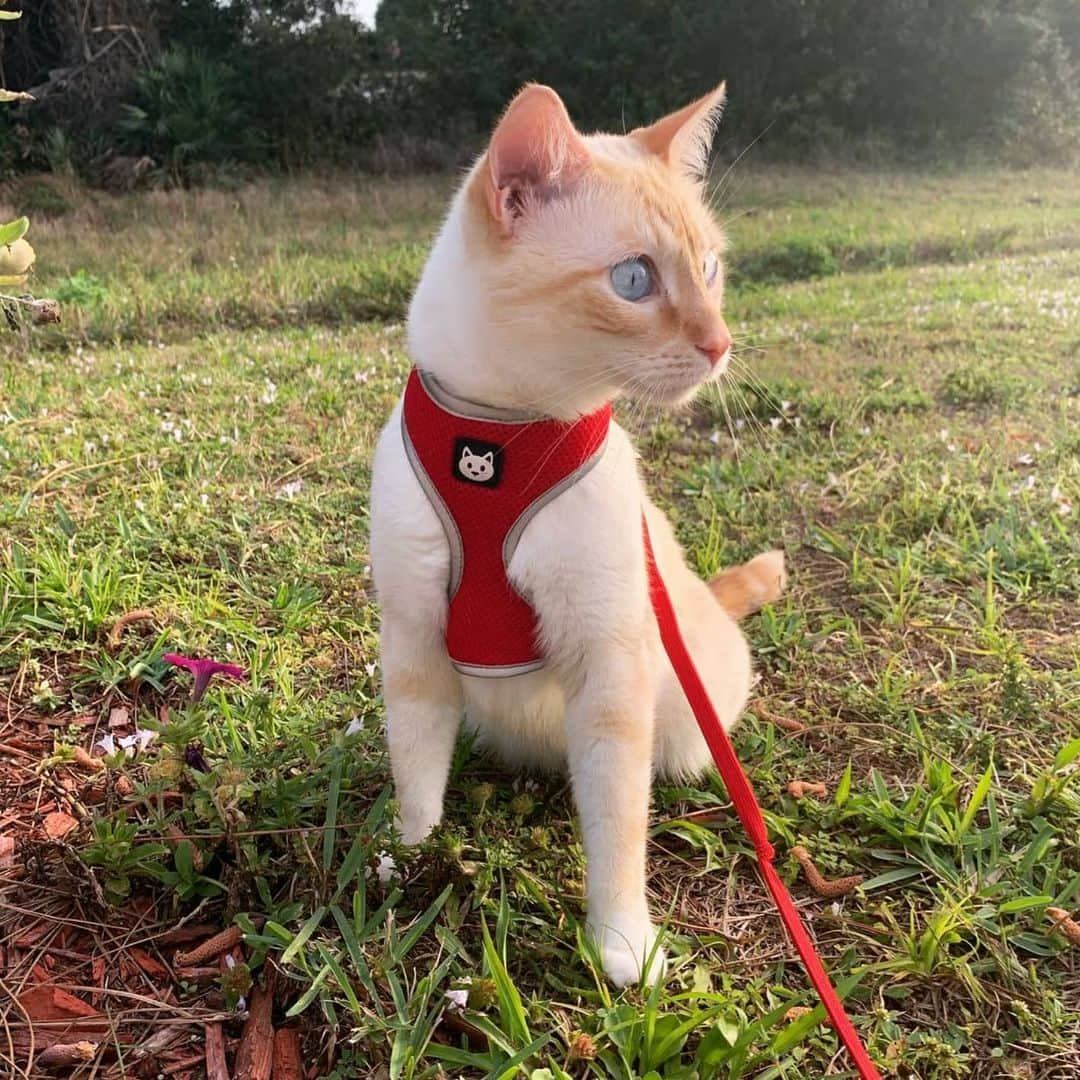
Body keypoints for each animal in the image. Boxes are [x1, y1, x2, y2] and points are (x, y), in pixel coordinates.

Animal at [371, 79, 786, 984]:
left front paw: (622, 942)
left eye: (710, 268)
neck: (498, 436)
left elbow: (618, 828)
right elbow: (415, 770)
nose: (721, 344)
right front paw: (409, 856)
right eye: (634, 280)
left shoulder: (608, 669)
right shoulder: (412, 641)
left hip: (684, 725)